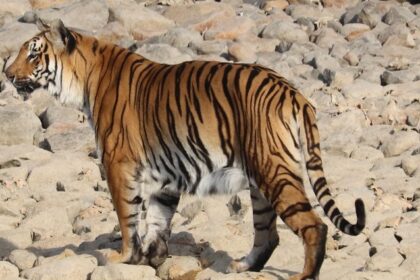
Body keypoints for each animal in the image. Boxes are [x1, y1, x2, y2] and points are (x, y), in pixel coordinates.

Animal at [4, 18, 364, 278]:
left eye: (33, 53)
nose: (6, 73)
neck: (85, 77)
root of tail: (294, 92)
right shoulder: (163, 173)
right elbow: (157, 219)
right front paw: (152, 257)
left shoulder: (118, 164)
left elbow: (127, 215)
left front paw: (123, 257)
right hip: (261, 179)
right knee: (268, 234)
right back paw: (242, 266)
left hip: (274, 170)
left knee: (314, 226)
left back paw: (303, 275)